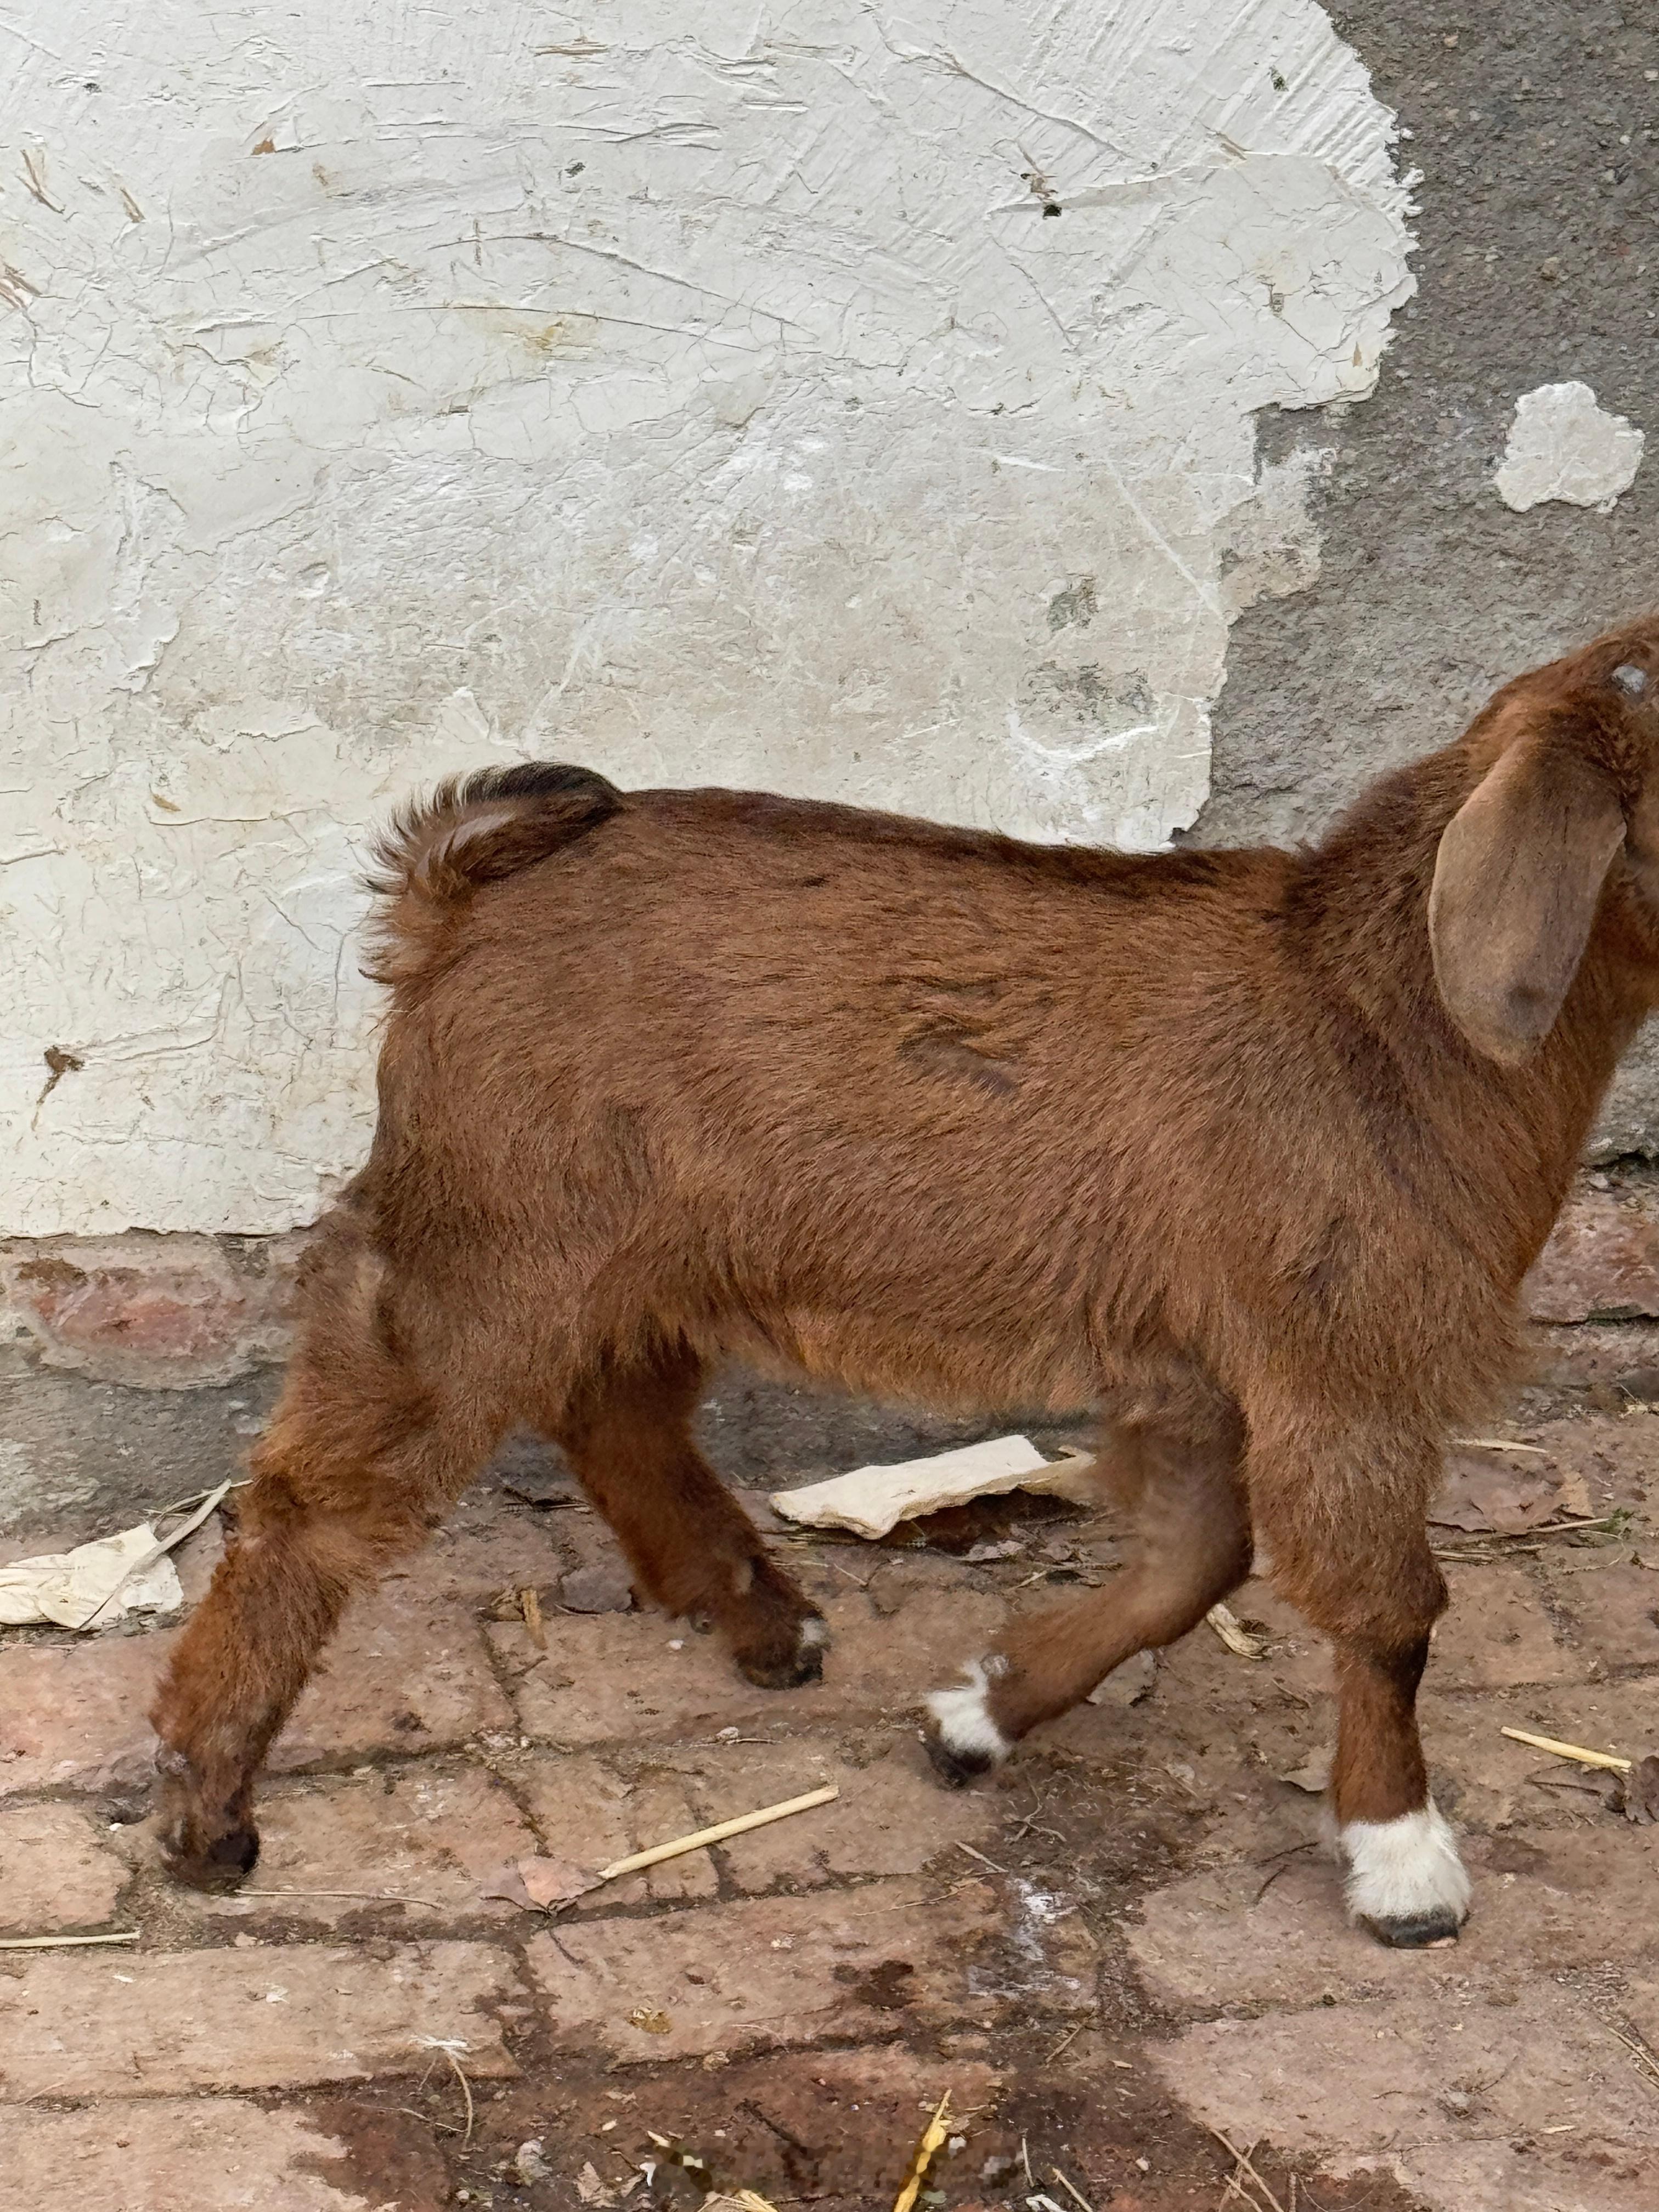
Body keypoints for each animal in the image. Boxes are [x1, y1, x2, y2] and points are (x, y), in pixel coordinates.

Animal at [146, 619, 1659, 1938]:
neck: (1381, 1027)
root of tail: (459, 894)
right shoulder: (1339, 1361)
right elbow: (1387, 1606)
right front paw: (1405, 1863)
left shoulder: (1204, 1370)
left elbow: (1193, 1562)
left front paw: (978, 1716)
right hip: (486, 1234)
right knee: (316, 1501)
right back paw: (209, 1809)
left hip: (629, 1247)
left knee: (613, 1411)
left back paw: (762, 1620)